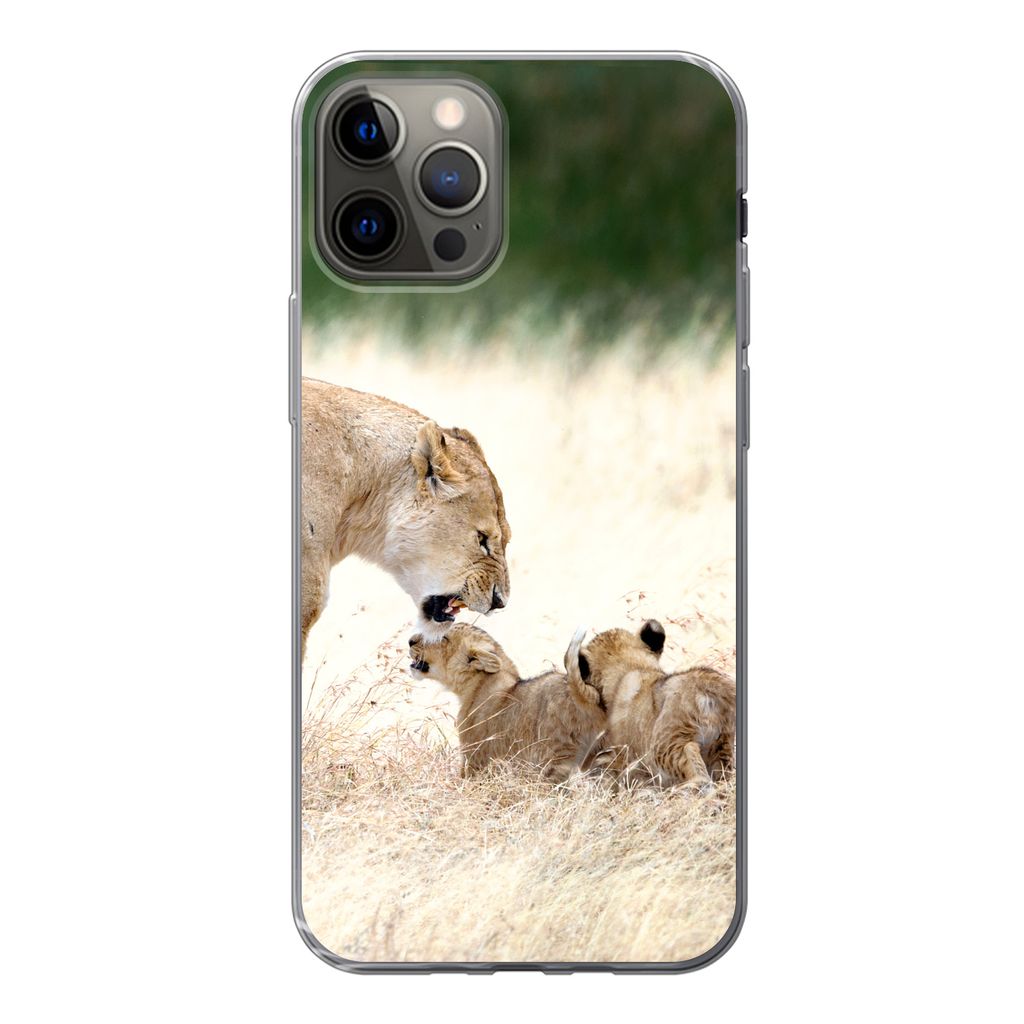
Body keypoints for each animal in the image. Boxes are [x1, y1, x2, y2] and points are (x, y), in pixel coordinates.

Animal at [408, 624, 606, 781]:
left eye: (443, 637)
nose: (410, 640)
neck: (478, 683)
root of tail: (585, 692)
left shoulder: (475, 757)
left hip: (554, 758)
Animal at [564, 619, 735, 790]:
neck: (632, 668)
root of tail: (709, 683)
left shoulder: (620, 759)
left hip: (665, 744)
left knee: (690, 752)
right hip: (722, 747)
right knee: (722, 772)